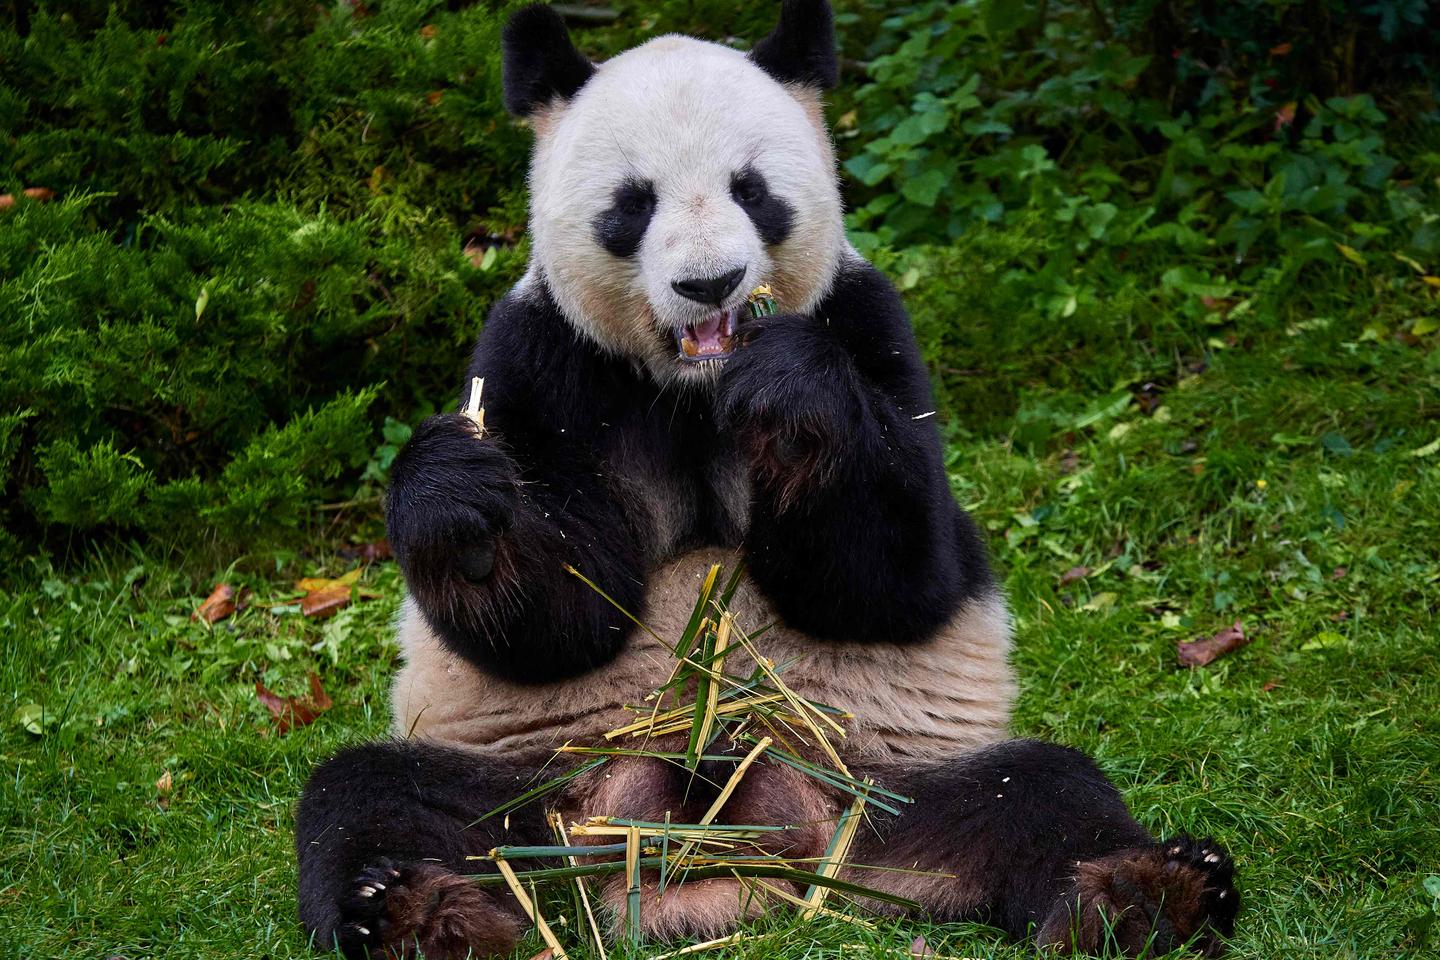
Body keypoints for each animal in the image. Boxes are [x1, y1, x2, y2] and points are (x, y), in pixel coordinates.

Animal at [295, 3, 1240, 958]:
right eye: (633, 204)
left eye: (751, 189)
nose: (710, 282)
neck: (698, 389)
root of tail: (733, 858)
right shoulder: (543, 359)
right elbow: (560, 619)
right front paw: (464, 507)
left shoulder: (869, 324)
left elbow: (894, 580)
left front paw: (793, 396)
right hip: (540, 796)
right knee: (376, 800)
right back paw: (417, 909)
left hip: (886, 789)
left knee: (1043, 793)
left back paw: (1145, 891)